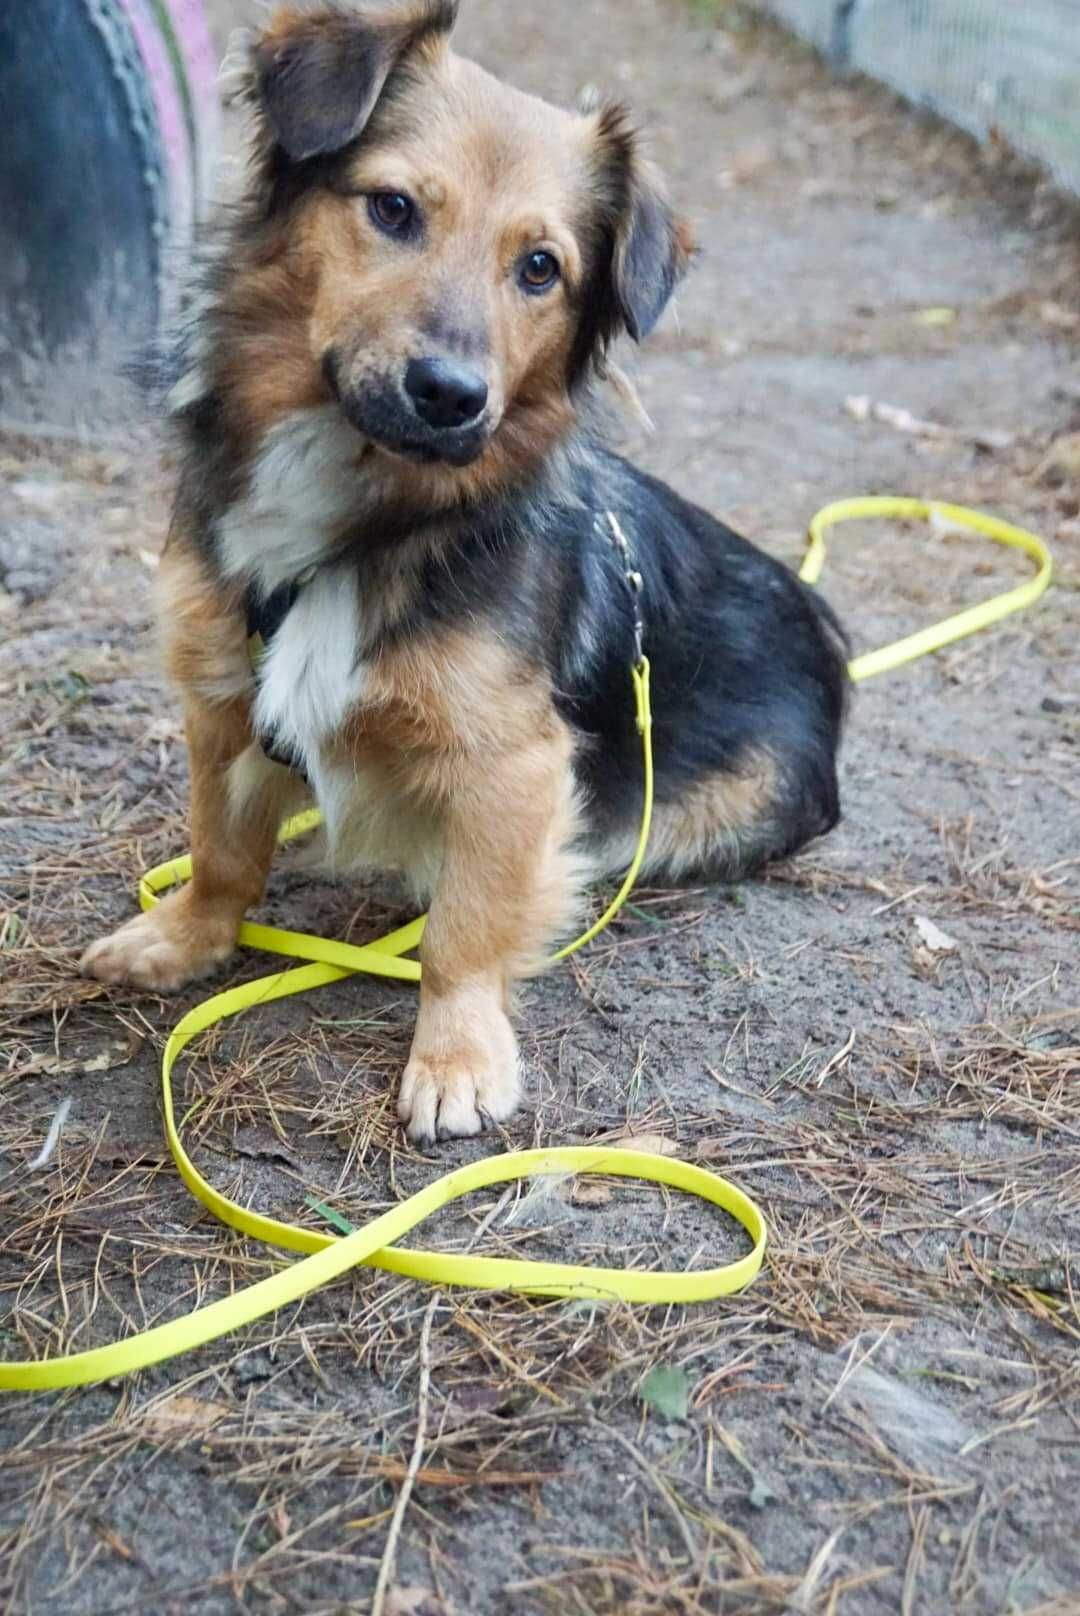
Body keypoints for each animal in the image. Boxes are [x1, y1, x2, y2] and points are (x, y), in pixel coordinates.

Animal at [80, 0, 847, 1144]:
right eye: (393, 209)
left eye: (540, 268)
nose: (451, 393)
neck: (364, 512)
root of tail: (822, 622)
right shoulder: (220, 692)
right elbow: (219, 845)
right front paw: (184, 936)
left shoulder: (514, 761)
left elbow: (468, 928)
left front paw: (456, 1055)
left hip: (688, 813)